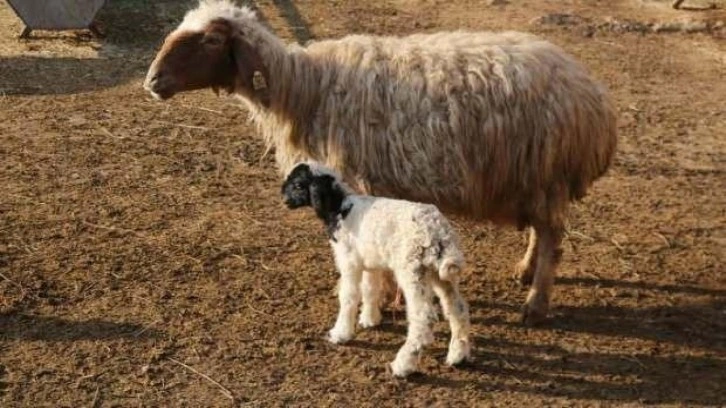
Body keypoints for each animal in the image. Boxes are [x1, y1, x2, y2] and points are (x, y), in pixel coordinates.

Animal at [144, 0, 620, 326]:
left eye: (210, 40)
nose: (152, 81)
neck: (306, 87)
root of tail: (592, 98)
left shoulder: (363, 178)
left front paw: (384, 297)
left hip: (545, 171)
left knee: (553, 238)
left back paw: (535, 304)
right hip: (534, 178)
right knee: (542, 230)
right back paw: (525, 270)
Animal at [282, 162, 474, 376]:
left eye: (298, 185)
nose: (285, 200)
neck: (339, 208)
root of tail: (439, 232)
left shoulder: (349, 261)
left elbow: (348, 296)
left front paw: (340, 333)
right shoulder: (370, 264)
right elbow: (370, 290)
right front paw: (369, 319)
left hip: (413, 270)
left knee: (423, 319)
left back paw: (403, 365)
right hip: (440, 274)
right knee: (457, 308)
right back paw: (457, 355)